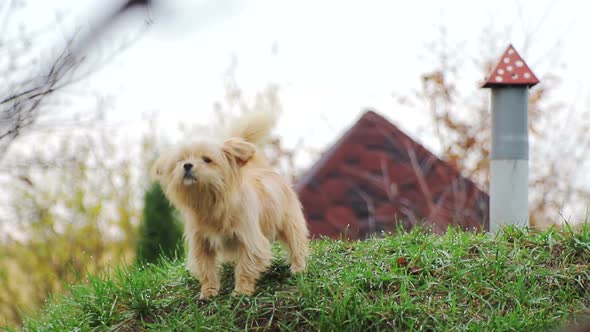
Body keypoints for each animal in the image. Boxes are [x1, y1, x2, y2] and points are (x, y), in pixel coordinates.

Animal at [151, 110, 310, 300]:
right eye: (180, 160)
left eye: (207, 160)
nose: (187, 165)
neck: (209, 202)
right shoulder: (201, 245)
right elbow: (206, 269)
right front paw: (208, 291)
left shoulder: (249, 240)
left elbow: (245, 266)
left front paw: (241, 291)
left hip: (289, 222)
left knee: (297, 244)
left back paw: (299, 267)